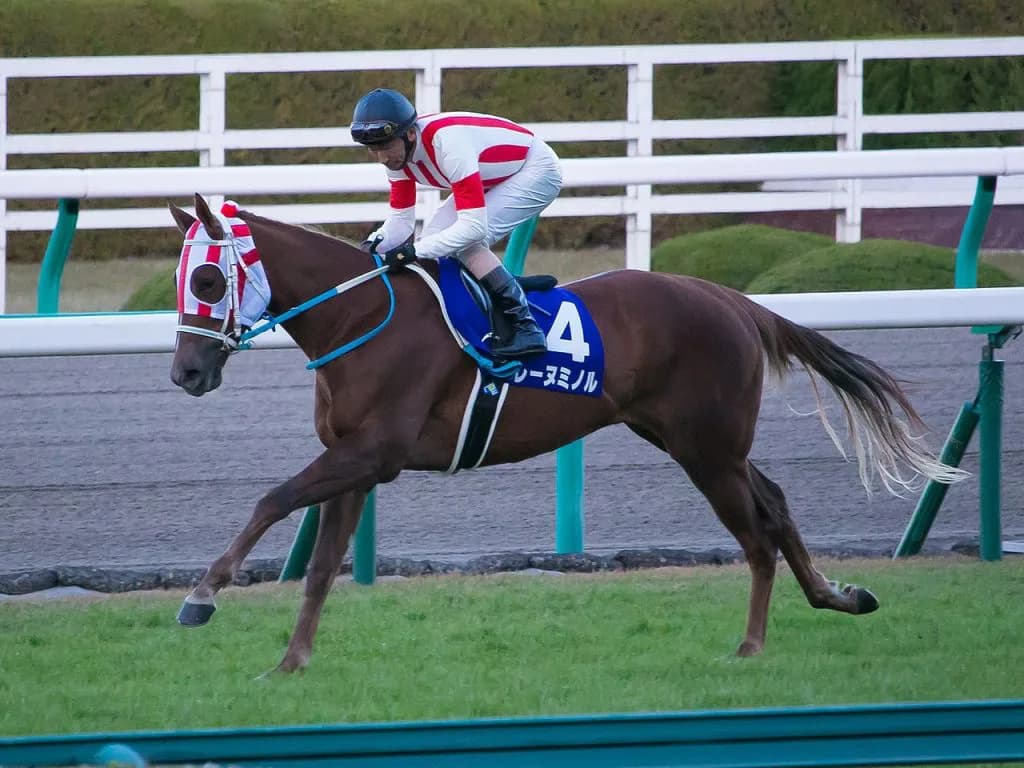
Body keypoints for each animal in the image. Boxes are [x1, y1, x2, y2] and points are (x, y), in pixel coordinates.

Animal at [168, 193, 962, 674]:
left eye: (206, 282)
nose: (185, 372)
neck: (362, 317)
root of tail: (733, 299)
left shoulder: (372, 453)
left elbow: (271, 500)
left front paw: (202, 596)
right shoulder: (353, 459)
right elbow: (324, 564)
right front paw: (291, 661)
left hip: (706, 448)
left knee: (757, 533)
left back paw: (752, 644)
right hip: (693, 440)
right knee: (776, 501)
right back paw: (839, 597)